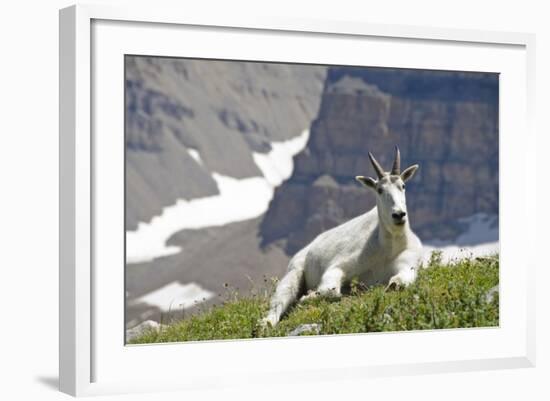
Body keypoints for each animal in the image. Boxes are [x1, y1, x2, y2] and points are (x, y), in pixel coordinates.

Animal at [262, 145, 422, 326]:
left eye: (403, 185)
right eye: (380, 190)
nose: (399, 215)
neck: (388, 247)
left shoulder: (409, 263)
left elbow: (401, 281)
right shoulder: (340, 265)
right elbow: (330, 289)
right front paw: (307, 297)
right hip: (295, 270)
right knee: (280, 299)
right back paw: (266, 323)